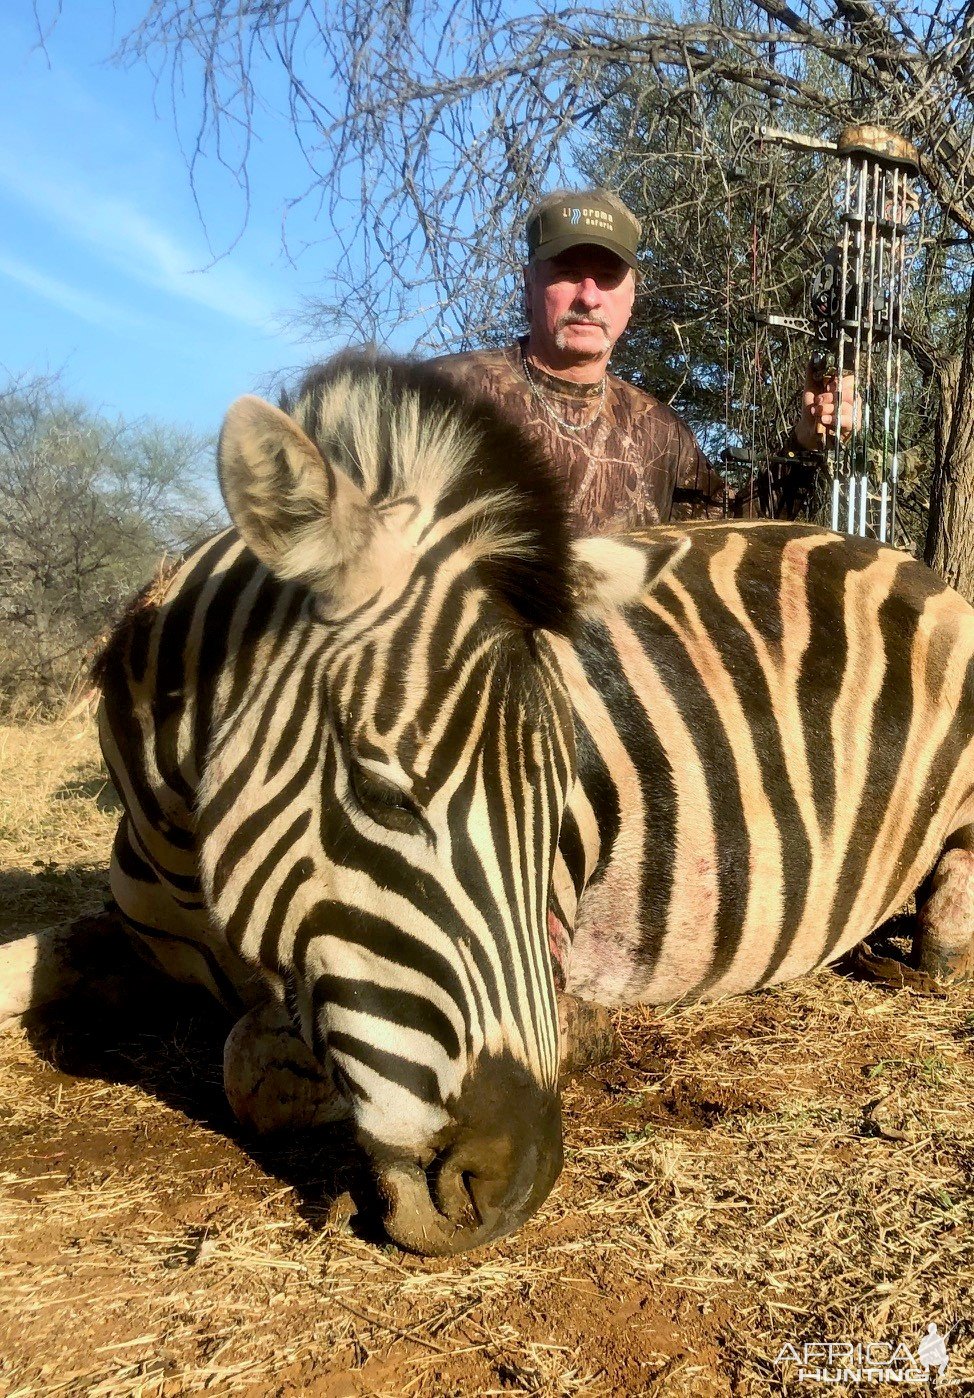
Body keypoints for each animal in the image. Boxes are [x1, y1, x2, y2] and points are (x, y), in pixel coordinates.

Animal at [5, 352, 972, 1258]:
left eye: (562, 811)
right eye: (383, 794)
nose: (514, 1184)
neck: (188, 857)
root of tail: (906, 560)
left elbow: (255, 1064)